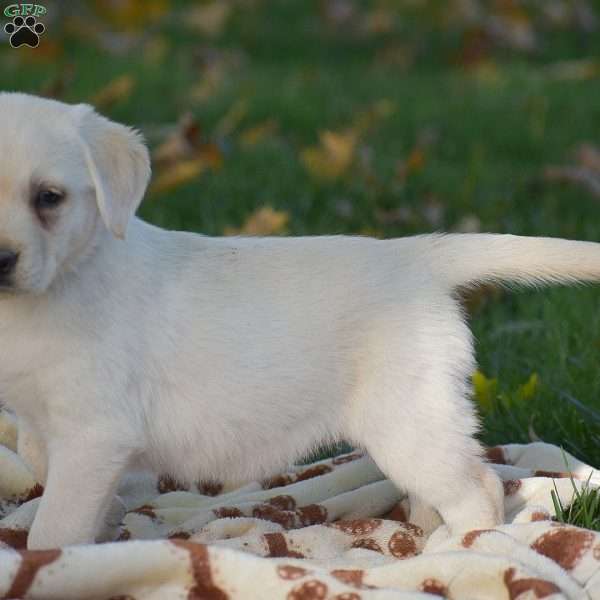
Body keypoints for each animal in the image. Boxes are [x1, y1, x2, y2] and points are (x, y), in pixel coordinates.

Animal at [1, 92, 600, 548]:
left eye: (49, 197)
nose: (3, 259)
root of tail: (416, 255)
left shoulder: (94, 436)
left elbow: (54, 528)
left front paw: (55, 566)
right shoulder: (45, 429)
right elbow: (48, 476)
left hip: (409, 422)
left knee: (479, 487)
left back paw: (462, 549)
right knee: (434, 493)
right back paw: (421, 539)